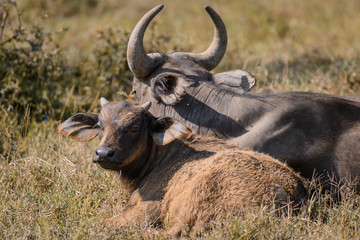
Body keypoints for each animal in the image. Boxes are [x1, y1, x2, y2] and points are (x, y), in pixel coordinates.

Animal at [57, 99, 306, 236]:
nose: (103, 153)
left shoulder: (150, 209)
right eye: (100, 126)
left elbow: (103, 224)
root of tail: (286, 190)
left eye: (135, 127)